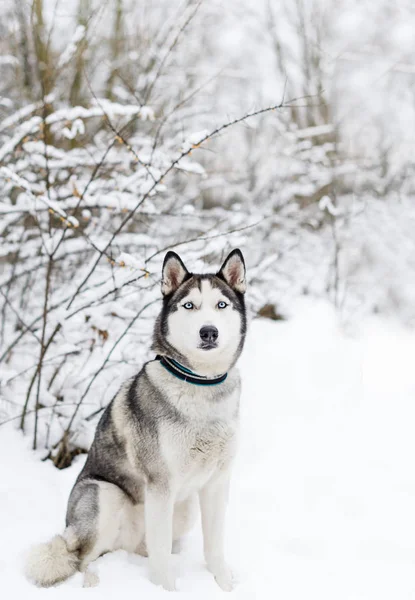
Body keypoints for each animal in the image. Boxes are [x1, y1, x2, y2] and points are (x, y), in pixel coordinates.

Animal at [26, 248, 247, 592]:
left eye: (221, 305)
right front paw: (166, 591)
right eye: (189, 305)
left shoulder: (217, 481)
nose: (208, 331)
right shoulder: (160, 484)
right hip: (105, 494)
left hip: (184, 509)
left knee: (144, 549)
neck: (201, 384)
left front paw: (223, 584)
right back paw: (95, 582)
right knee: (82, 559)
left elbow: (214, 545)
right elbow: (161, 556)